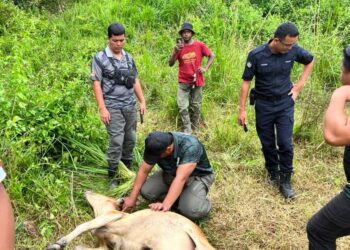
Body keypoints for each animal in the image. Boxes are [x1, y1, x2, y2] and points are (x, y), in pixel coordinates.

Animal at [46, 190, 216, 249]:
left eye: (103, 195)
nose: (87, 190)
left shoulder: (113, 215)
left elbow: (84, 226)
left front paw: (59, 243)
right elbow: (80, 247)